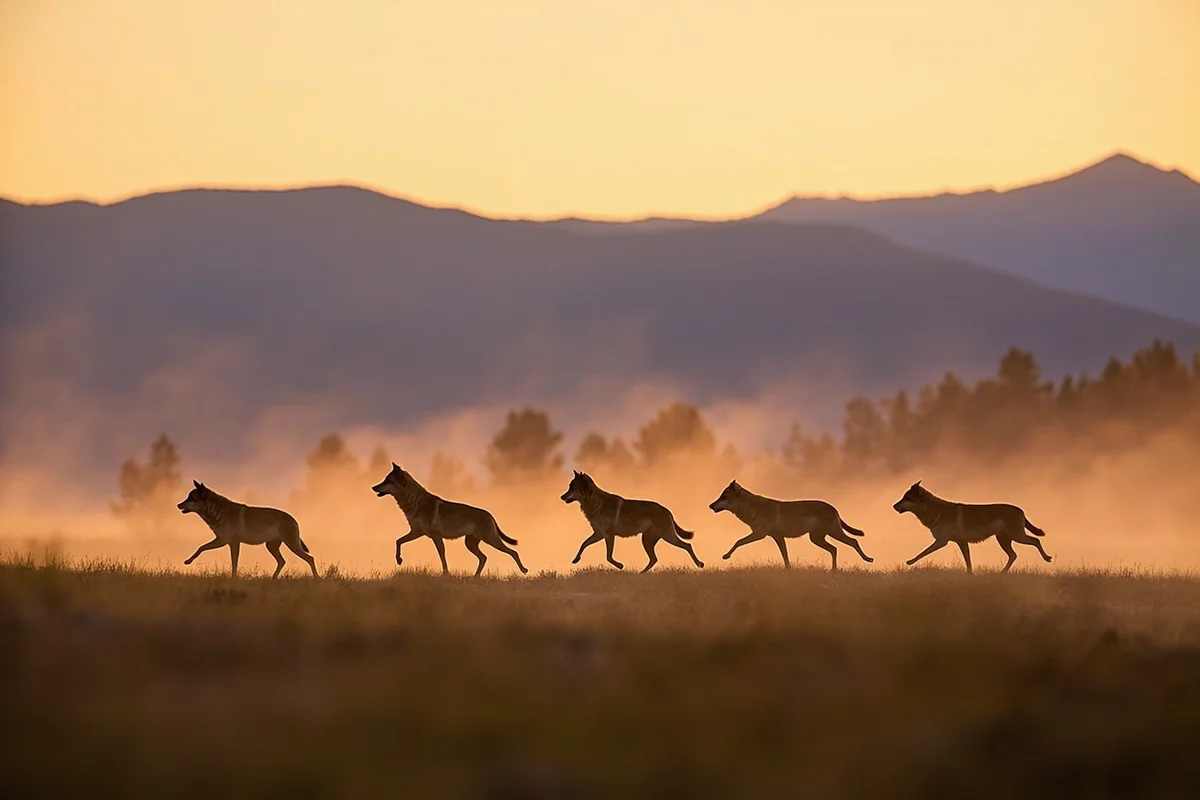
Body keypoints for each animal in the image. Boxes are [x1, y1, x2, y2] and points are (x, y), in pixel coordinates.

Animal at [177, 481, 318, 578]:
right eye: (187, 497)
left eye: (191, 498)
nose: (178, 505)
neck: (219, 513)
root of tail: (294, 519)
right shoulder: (224, 541)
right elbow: (201, 548)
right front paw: (188, 561)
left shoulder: (229, 542)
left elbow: (232, 562)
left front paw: (233, 578)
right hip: (271, 546)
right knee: (282, 561)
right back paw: (272, 579)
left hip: (291, 546)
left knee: (310, 558)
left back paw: (316, 579)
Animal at [371, 463, 528, 576]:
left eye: (388, 480)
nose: (373, 487)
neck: (415, 502)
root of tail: (489, 514)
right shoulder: (417, 532)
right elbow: (398, 541)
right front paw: (399, 560)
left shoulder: (435, 536)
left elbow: (442, 556)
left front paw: (446, 573)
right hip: (471, 544)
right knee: (484, 558)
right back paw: (475, 577)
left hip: (490, 540)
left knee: (512, 552)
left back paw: (524, 570)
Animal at [559, 470, 704, 573]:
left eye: (572, 488)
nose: (561, 497)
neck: (595, 503)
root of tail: (667, 510)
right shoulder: (599, 534)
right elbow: (583, 544)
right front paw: (576, 559)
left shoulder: (609, 535)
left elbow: (608, 557)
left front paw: (620, 565)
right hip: (648, 541)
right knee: (654, 559)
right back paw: (641, 574)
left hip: (666, 537)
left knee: (687, 546)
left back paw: (700, 564)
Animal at [708, 480, 872, 571]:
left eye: (724, 496)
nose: (710, 505)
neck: (752, 509)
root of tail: (834, 508)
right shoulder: (777, 537)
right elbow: (785, 556)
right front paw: (788, 571)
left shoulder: (760, 534)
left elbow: (738, 541)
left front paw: (726, 556)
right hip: (817, 538)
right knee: (835, 549)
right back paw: (833, 571)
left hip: (832, 533)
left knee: (853, 541)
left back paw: (868, 559)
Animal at [892, 481, 1052, 573]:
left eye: (907, 498)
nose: (893, 506)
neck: (937, 512)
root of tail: (1021, 510)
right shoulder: (961, 543)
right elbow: (968, 562)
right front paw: (970, 575)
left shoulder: (942, 542)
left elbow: (923, 553)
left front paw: (910, 562)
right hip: (1004, 540)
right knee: (1014, 555)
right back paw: (1001, 573)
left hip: (1017, 537)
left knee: (1035, 541)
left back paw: (1047, 558)